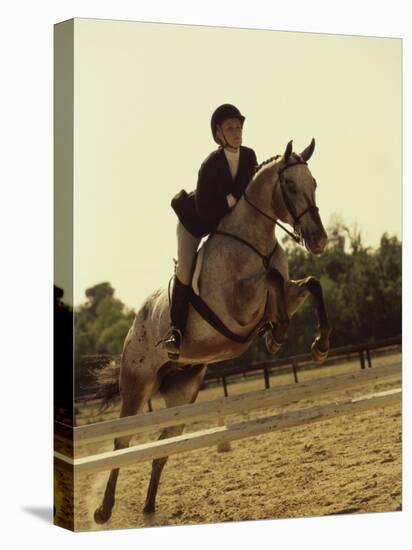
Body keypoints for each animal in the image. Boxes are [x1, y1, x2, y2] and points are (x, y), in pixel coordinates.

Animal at [92, 139, 332, 528]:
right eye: (290, 186)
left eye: (313, 183)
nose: (319, 240)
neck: (254, 242)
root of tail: (133, 327)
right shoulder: (234, 309)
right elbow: (271, 280)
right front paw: (276, 334)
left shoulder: (285, 294)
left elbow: (310, 283)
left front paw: (319, 344)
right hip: (137, 384)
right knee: (122, 442)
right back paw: (104, 510)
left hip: (183, 390)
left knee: (164, 446)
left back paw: (148, 508)